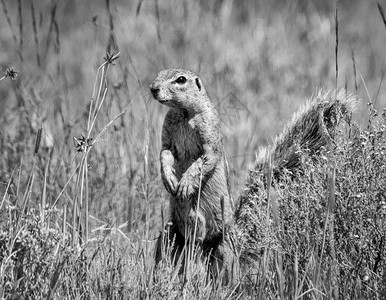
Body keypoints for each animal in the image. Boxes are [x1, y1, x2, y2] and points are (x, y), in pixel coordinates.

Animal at [149, 68, 234, 268]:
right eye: (159, 74)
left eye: (181, 79)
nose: (153, 88)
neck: (184, 113)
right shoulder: (167, 129)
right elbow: (164, 152)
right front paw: (169, 179)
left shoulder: (210, 125)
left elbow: (207, 157)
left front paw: (185, 184)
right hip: (169, 231)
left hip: (223, 242)